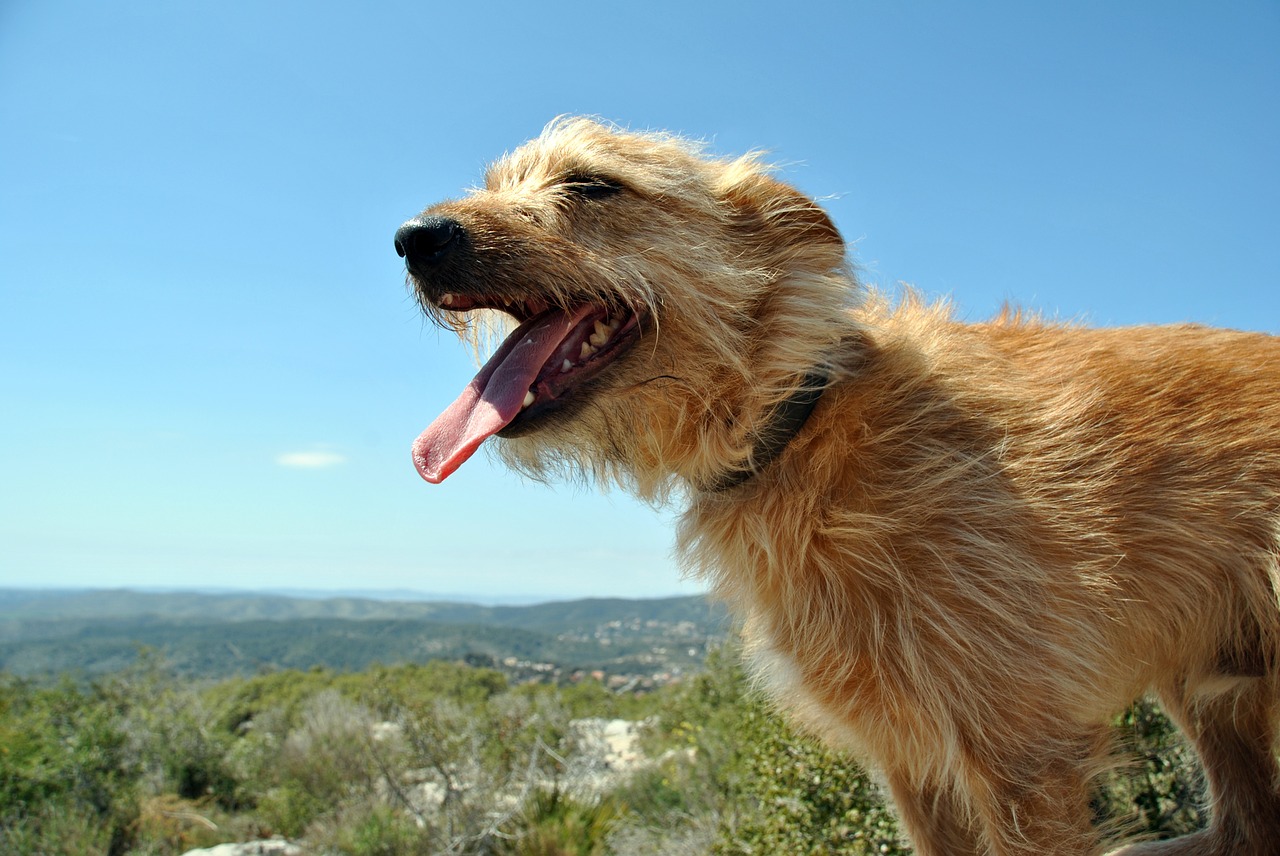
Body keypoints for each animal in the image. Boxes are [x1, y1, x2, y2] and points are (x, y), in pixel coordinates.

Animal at [391, 120, 1280, 854]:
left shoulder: (1020, 754)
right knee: (1245, 826)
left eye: (591, 185)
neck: (799, 418)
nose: (412, 237)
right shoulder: (912, 759)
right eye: (495, 180)